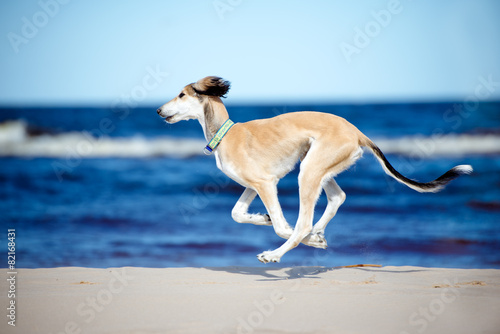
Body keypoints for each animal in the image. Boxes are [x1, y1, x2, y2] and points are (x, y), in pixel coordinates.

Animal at [157, 75, 472, 264]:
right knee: (337, 198)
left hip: (308, 171)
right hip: (318, 167)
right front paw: (261, 218)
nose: (159, 111)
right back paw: (317, 234)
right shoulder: (254, 184)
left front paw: (285, 233)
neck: (225, 133)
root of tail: (356, 131)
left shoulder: (265, 183)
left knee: (304, 223)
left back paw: (281, 251)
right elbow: (237, 214)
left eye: (182, 94)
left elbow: (282, 226)